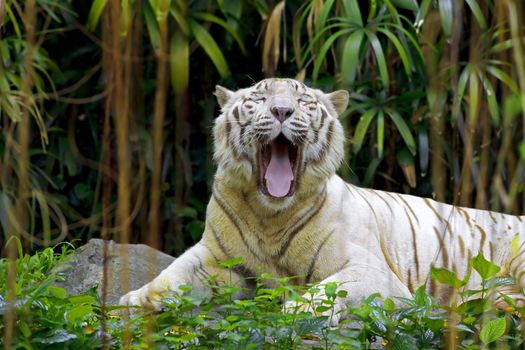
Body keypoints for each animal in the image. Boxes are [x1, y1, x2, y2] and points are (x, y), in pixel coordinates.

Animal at [119, 78, 524, 324]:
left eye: (302, 101)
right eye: (260, 99)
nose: (282, 111)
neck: (270, 215)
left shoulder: (375, 272)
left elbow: (332, 287)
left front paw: (297, 309)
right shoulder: (215, 257)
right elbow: (174, 273)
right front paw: (137, 299)